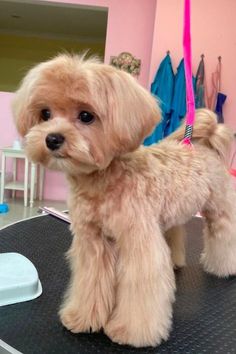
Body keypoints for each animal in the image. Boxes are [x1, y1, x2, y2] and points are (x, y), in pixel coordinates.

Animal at [12, 55, 236, 348]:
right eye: (45, 114)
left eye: (86, 116)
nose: (52, 138)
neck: (103, 180)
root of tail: (202, 144)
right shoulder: (93, 243)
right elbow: (91, 282)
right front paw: (83, 317)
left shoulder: (139, 243)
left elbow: (141, 288)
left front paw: (132, 331)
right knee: (175, 232)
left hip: (218, 209)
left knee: (223, 235)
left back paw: (223, 267)